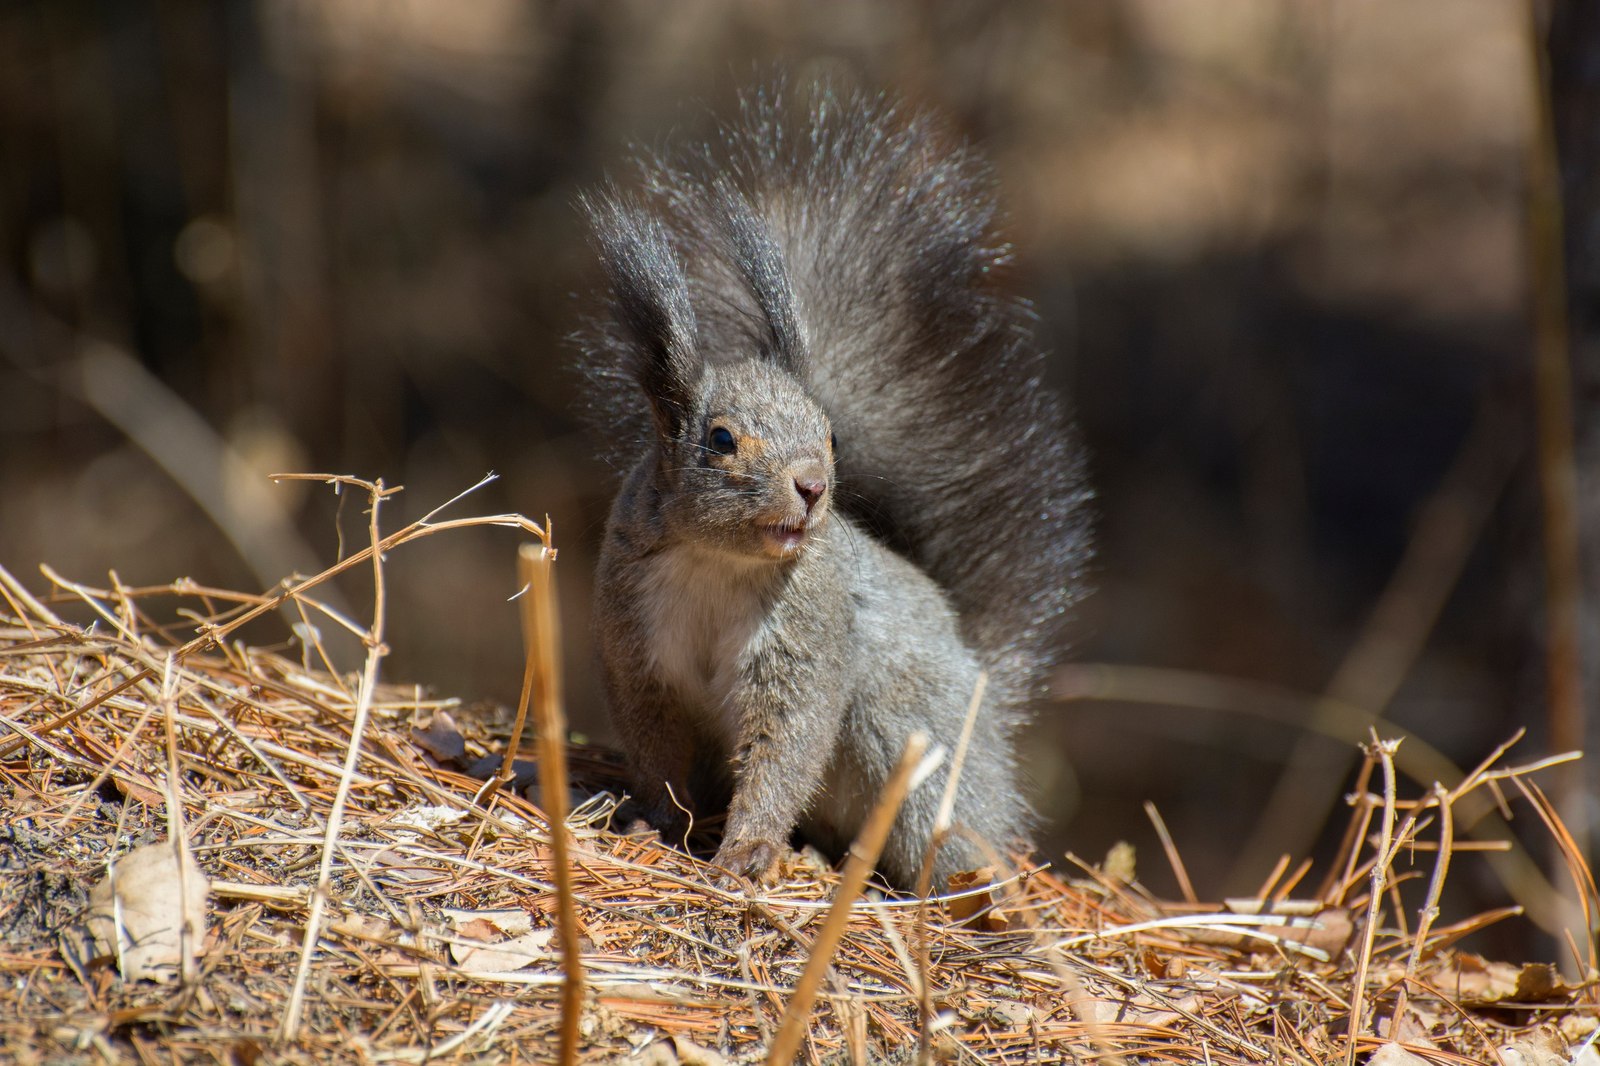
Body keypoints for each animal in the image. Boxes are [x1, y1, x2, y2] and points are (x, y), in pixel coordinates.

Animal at [576, 83, 1088, 883]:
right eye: (720, 440)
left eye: (833, 434)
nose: (813, 486)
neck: (718, 563)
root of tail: (985, 696)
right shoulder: (637, 646)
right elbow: (655, 748)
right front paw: (653, 822)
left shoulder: (808, 641)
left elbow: (788, 749)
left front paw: (747, 850)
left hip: (911, 743)